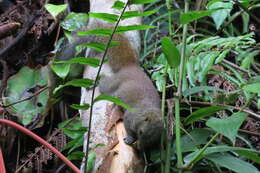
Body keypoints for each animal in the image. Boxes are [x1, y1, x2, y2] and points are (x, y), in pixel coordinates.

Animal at [57, 19, 164, 151]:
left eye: (153, 141)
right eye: (141, 132)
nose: (141, 148)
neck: (147, 111)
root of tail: (130, 66)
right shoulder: (130, 117)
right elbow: (128, 128)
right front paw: (130, 139)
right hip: (112, 84)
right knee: (104, 85)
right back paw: (98, 80)